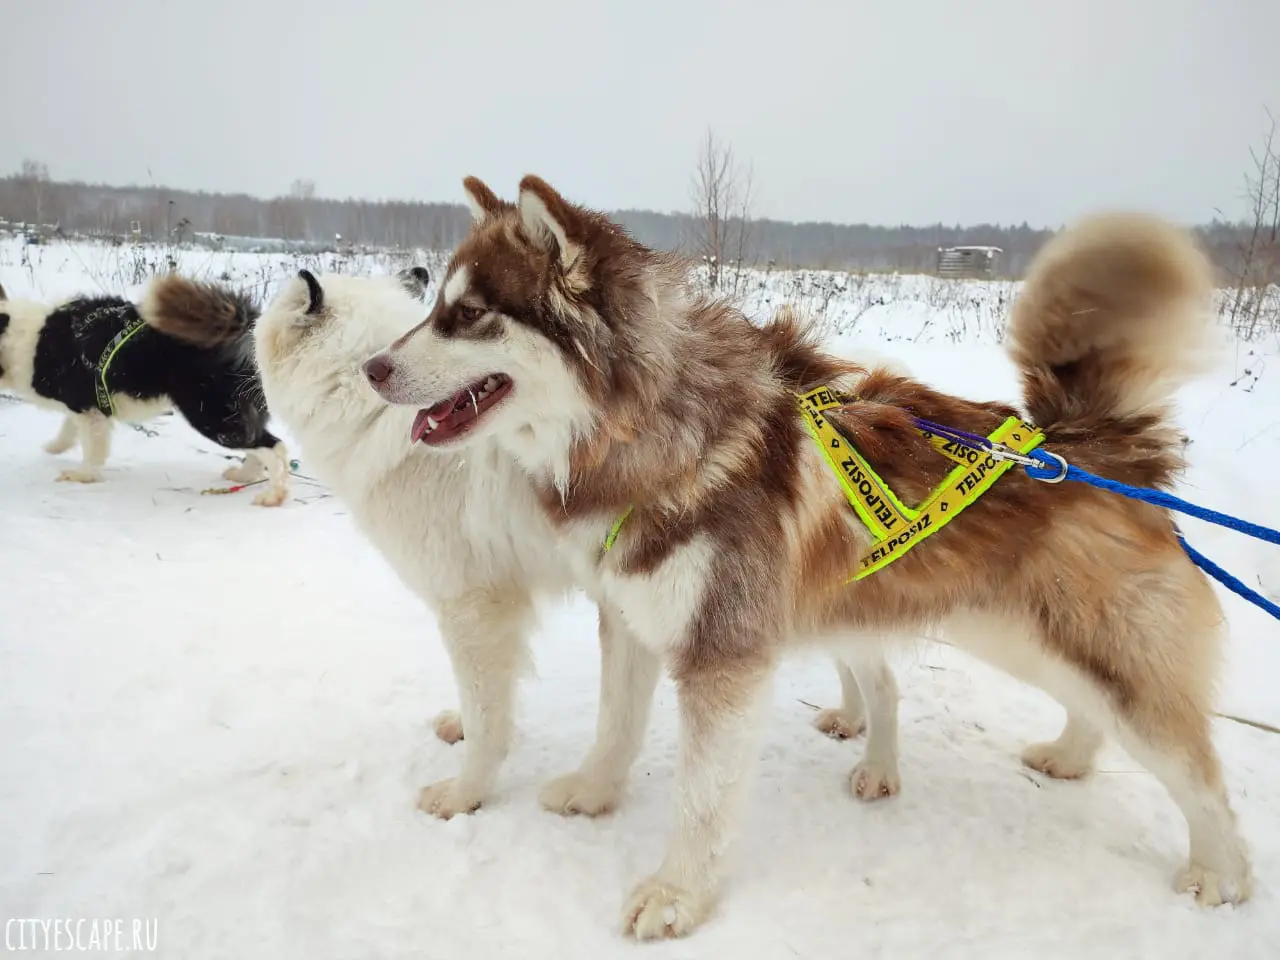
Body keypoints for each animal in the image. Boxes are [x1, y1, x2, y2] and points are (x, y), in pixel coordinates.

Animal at [1, 273, 291, 506]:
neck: (18, 337)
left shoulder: (87, 409)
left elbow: (92, 450)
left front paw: (82, 475)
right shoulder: (85, 407)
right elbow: (69, 429)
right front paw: (55, 447)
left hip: (213, 416)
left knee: (274, 447)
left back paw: (273, 495)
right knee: (260, 444)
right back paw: (244, 475)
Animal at [360, 176, 1249, 942]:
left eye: (470, 313)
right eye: (436, 306)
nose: (371, 368)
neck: (656, 433)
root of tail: (1088, 443)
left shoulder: (723, 651)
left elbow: (703, 797)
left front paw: (678, 896)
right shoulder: (634, 615)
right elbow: (617, 723)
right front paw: (594, 791)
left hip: (1078, 643)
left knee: (1196, 767)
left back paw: (1224, 875)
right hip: (1014, 635)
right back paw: (1065, 757)